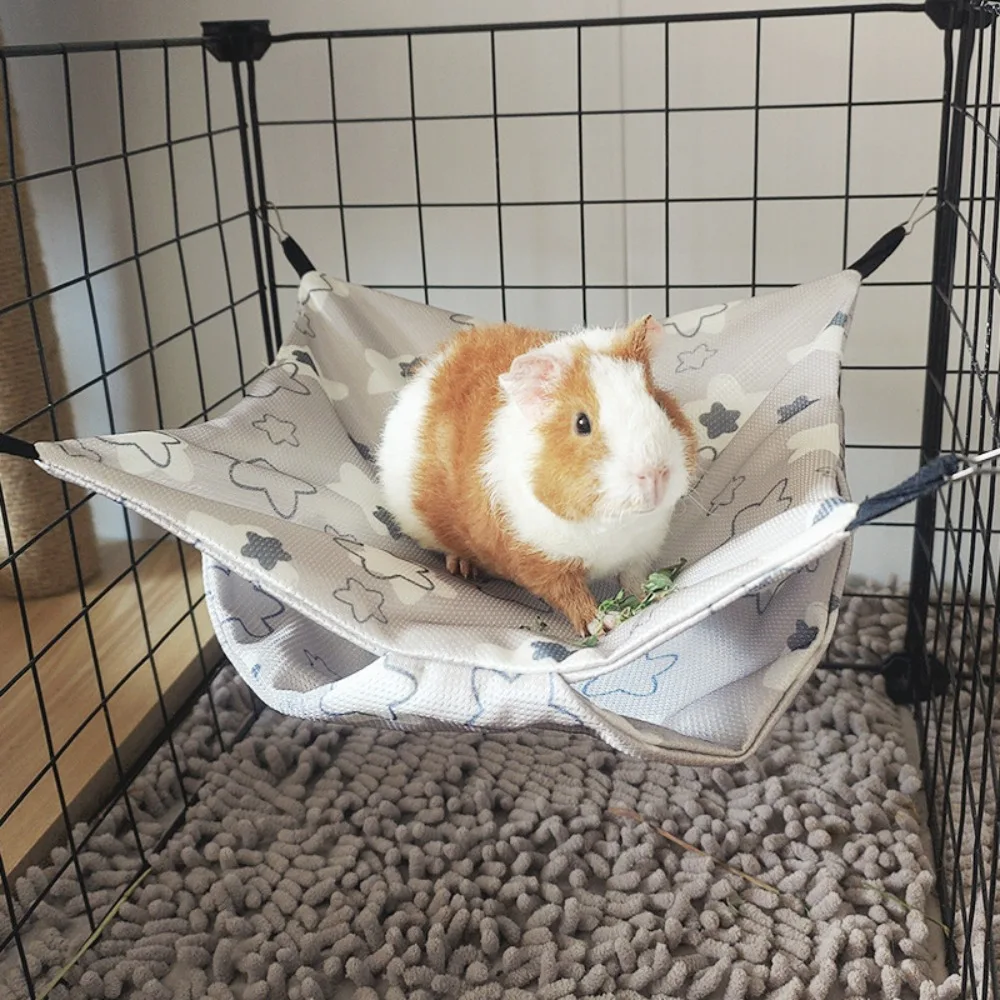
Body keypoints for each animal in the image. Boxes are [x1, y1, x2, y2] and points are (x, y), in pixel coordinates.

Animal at [375, 315, 698, 636]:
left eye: (658, 402)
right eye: (582, 423)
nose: (655, 474)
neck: (614, 523)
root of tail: (431, 367)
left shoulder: (640, 550)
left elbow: (633, 578)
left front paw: (653, 597)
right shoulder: (542, 562)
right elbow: (572, 598)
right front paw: (604, 623)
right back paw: (463, 567)